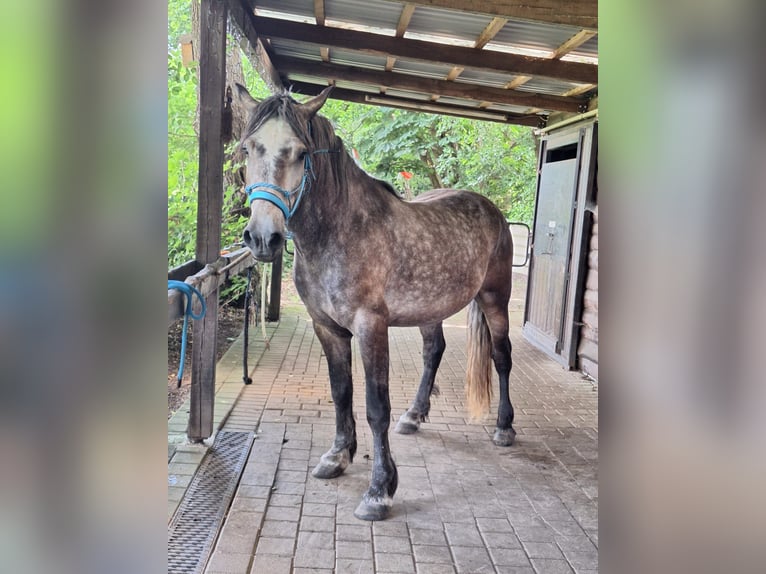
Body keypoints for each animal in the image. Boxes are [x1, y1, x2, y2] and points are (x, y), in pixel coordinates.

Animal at [240, 85, 516, 520]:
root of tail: (492, 209)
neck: (341, 231)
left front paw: (379, 490)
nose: (263, 238)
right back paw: (414, 416)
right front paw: (337, 456)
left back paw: (504, 427)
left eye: (300, 152)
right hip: (430, 309)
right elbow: (341, 392)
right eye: (248, 148)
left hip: (495, 298)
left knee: (502, 357)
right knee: (433, 351)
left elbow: (375, 406)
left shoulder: (371, 327)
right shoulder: (327, 328)